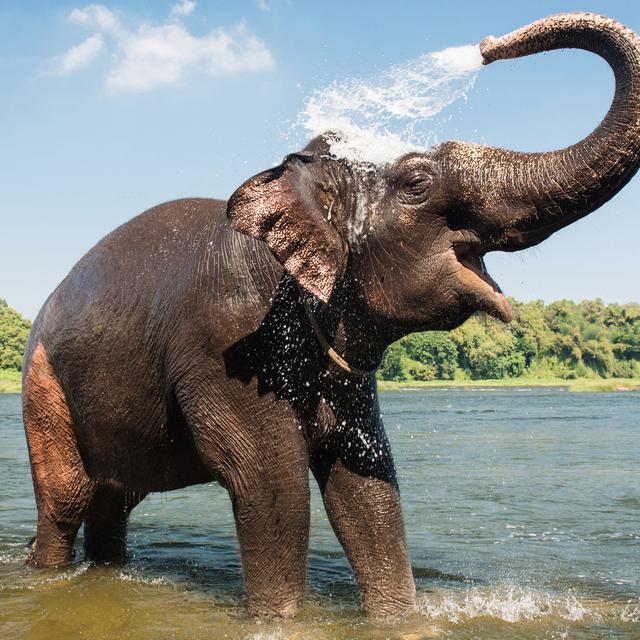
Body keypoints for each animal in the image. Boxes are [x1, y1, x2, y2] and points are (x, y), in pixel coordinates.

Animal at [22, 12, 640, 616]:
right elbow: (271, 484)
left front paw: (398, 619)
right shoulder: (226, 342)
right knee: (67, 499)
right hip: (42, 386)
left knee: (114, 499)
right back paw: (44, 572)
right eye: (417, 183)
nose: (488, 44)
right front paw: (280, 622)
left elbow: (366, 488)